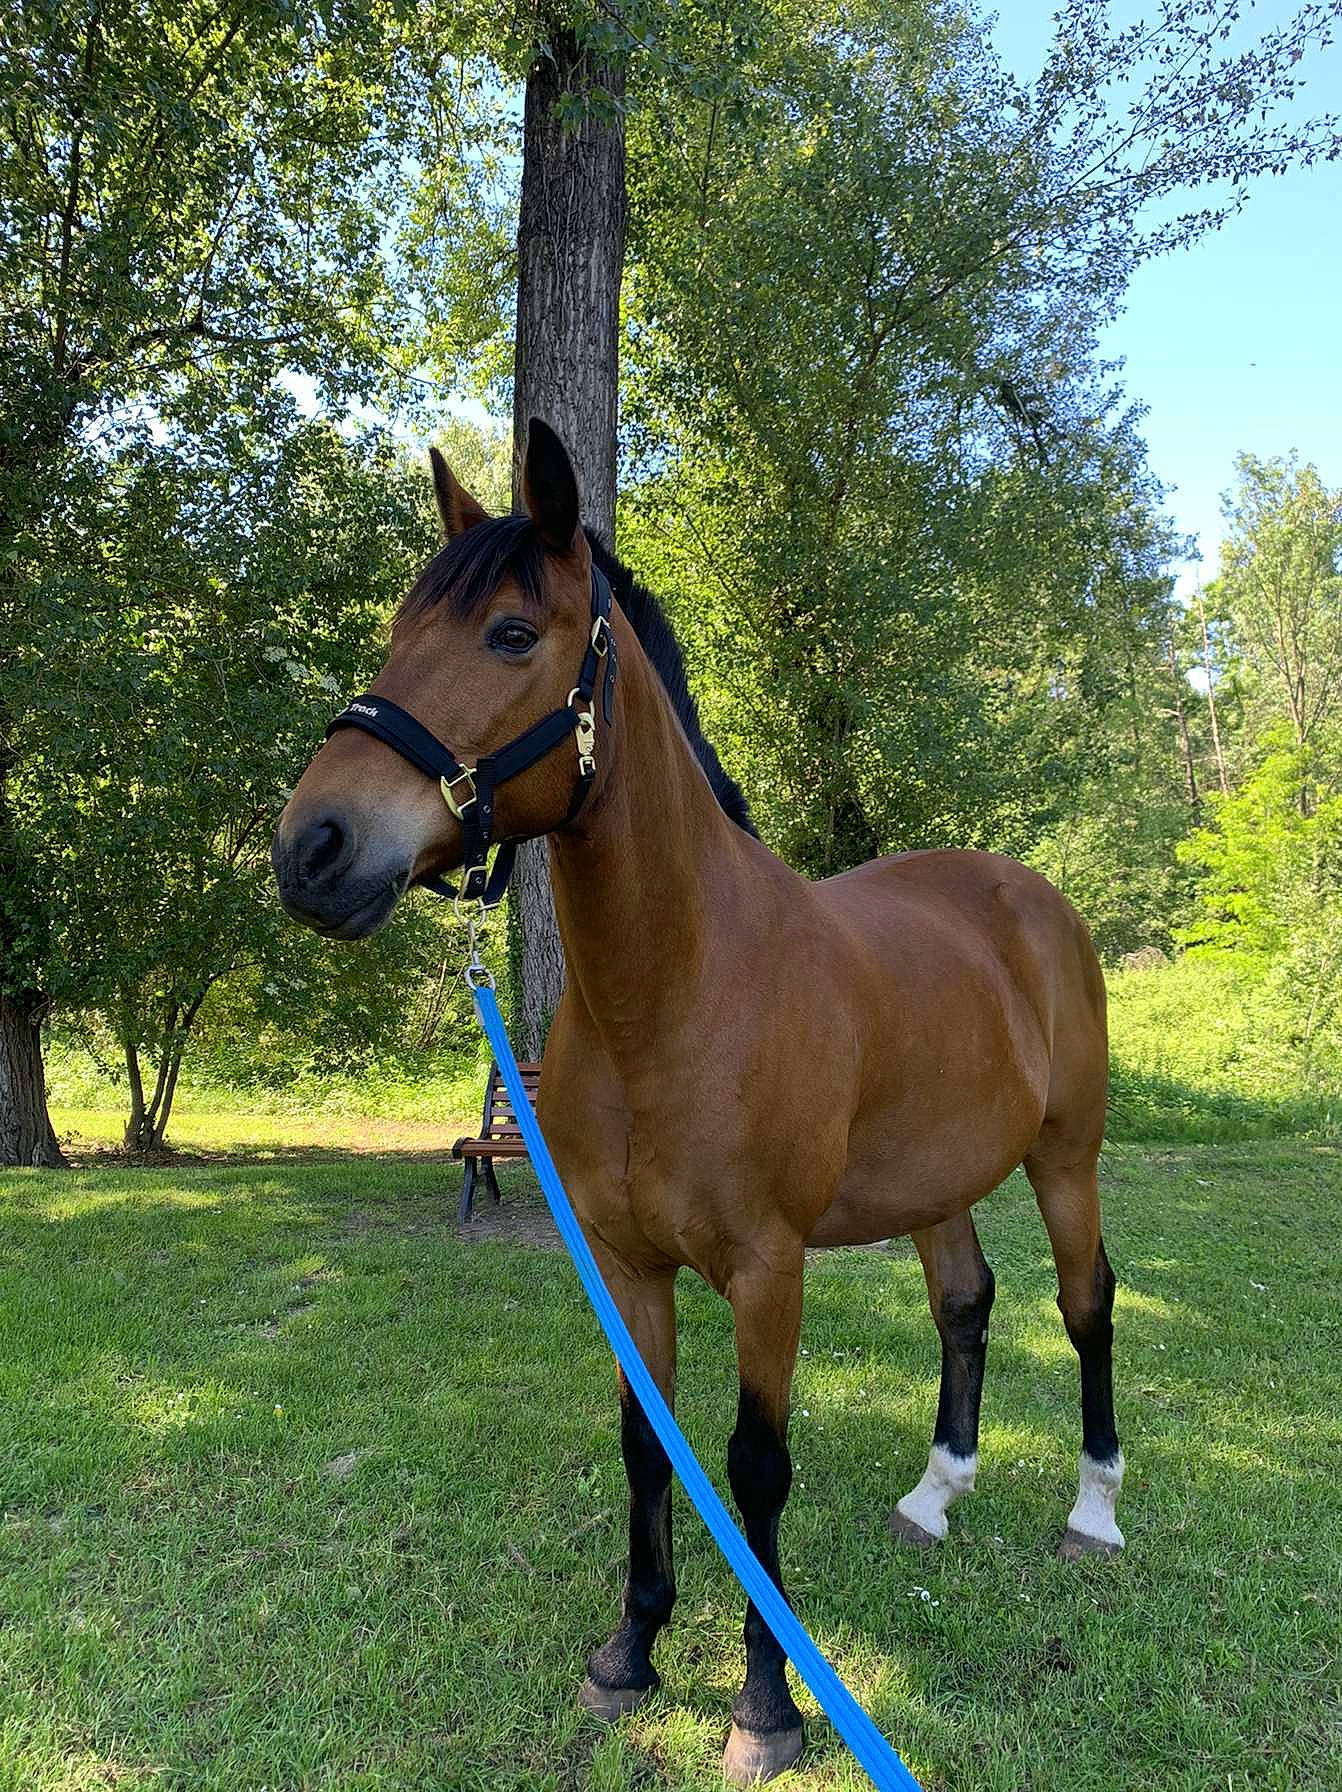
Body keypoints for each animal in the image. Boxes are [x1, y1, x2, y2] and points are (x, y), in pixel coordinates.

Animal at [271, 420, 1124, 1785]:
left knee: (1084, 1304)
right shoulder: (627, 1267)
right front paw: (630, 1653)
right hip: (936, 1180)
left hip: (1065, 1159)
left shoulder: (768, 1270)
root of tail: (1027, 895)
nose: (313, 849)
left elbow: (753, 1466)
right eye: (401, 628)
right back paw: (934, 1494)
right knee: (964, 1303)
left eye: (510, 633)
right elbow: (647, 1445)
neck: (675, 994)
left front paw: (765, 1703)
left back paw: (1093, 1510)